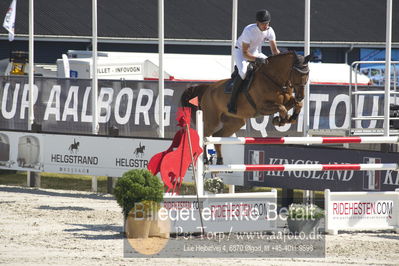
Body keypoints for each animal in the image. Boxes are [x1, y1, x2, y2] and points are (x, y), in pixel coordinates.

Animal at [181, 51, 312, 164]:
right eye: (297, 73)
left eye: (308, 73)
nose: (301, 96)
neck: (273, 79)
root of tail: (207, 88)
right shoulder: (262, 107)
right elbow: (281, 108)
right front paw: (281, 120)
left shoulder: (287, 101)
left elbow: (295, 105)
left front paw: (289, 118)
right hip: (212, 120)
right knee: (205, 135)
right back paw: (204, 159)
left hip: (236, 122)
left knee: (217, 136)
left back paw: (219, 161)